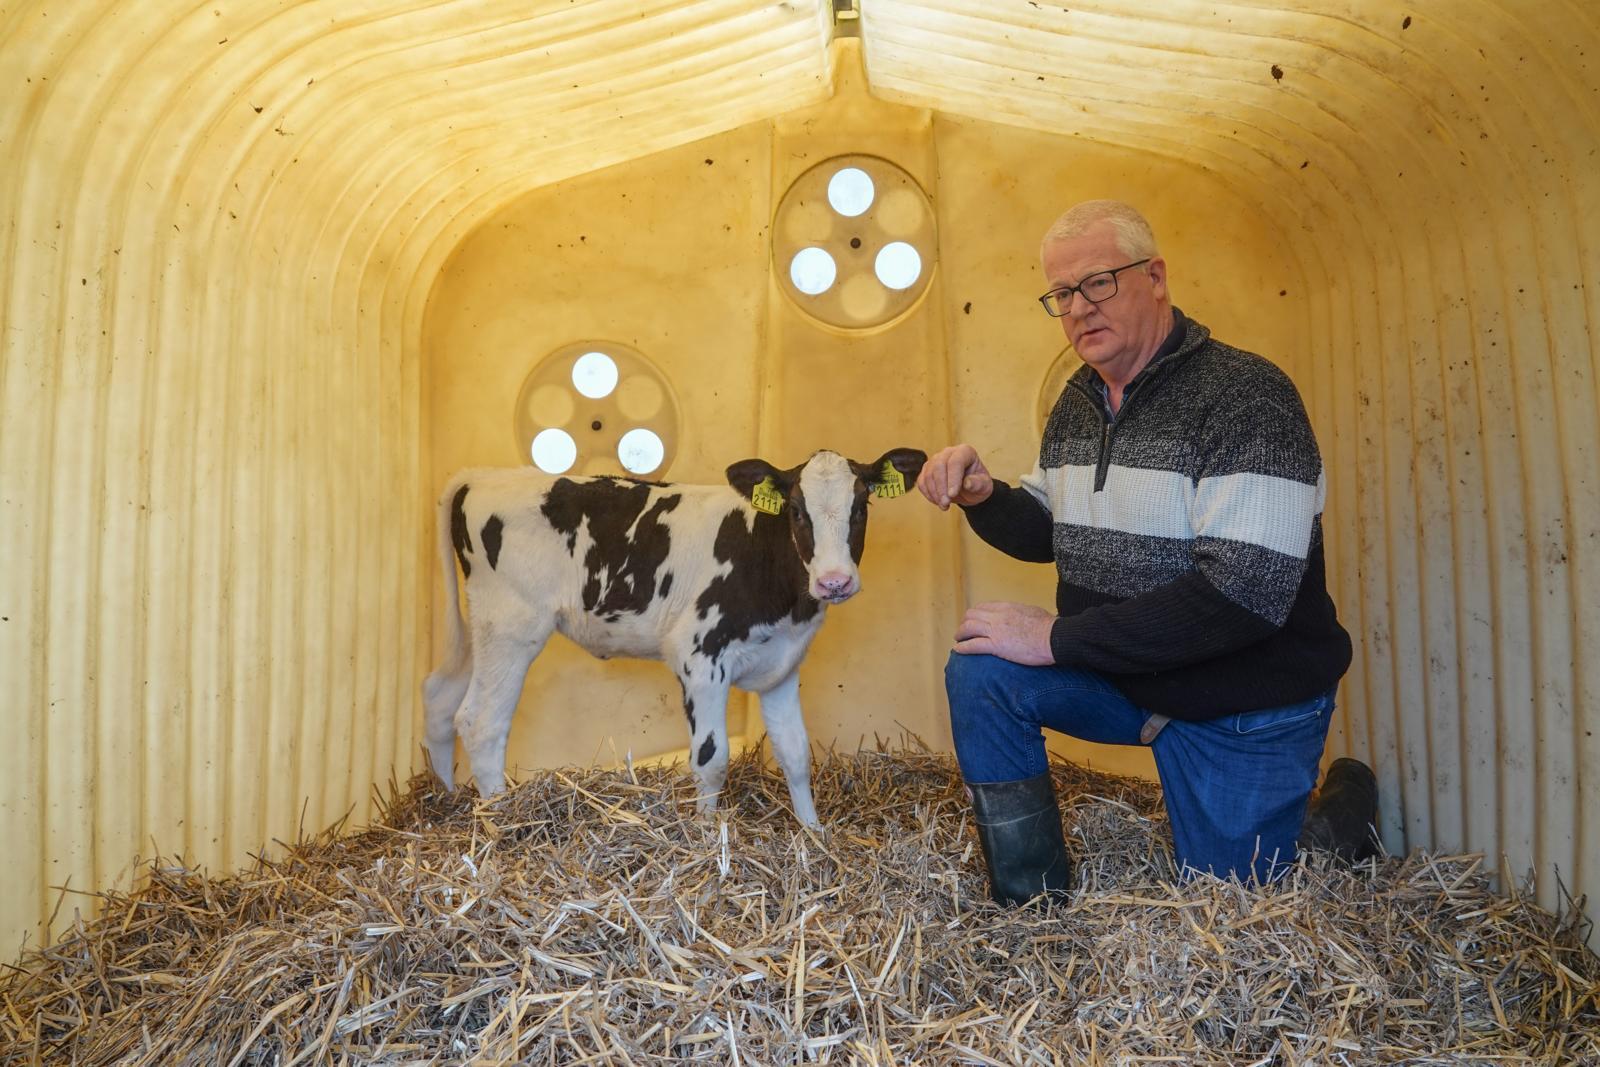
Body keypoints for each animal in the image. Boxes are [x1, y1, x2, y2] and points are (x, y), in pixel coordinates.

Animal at [422, 447, 928, 831]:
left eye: (861, 507)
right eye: (797, 511)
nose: (834, 581)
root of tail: (482, 475)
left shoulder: (781, 666)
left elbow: (796, 753)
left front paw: (813, 833)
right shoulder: (700, 657)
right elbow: (712, 759)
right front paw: (706, 836)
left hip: (481, 628)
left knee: (440, 700)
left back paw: (446, 800)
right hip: (512, 626)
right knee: (481, 721)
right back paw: (502, 822)